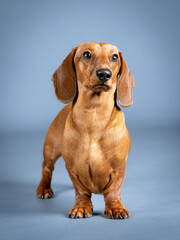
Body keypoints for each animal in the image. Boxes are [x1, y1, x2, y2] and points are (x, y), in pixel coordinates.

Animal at [36, 41, 135, 219]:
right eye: (87, 54)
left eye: (114, 57)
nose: (104, 74)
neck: (94, 116)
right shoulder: (72, 168)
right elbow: (81, 191)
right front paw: (81, 207)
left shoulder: (118, 168)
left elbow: (113, 191)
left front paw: (115, 207)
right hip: (51, 149)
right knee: (47, 167)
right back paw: (44, 189)